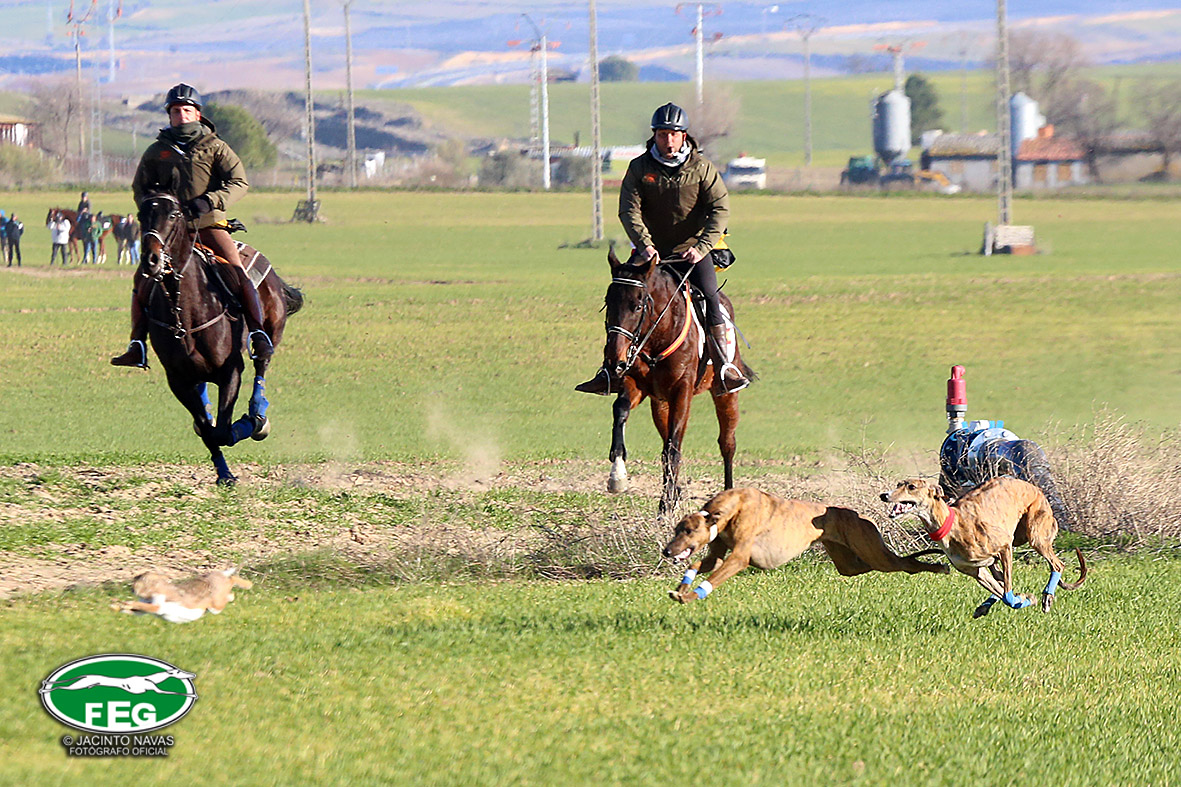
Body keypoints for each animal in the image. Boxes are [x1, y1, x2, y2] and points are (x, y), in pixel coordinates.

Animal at [114, 568, 253, 624]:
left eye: (144, 581)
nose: (132, 589)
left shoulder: (159, 603)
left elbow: (148, 607)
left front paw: (126, 603)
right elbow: (139, 610)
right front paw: (119, 606)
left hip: (216, 605)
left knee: (231, 583)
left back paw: (246, 585)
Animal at [138, 189, 303, 486]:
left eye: (173, 214)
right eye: (140, 215)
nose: (151, 259)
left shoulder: (231, 369)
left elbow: (224, 431)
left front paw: (250, 423)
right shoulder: (177, 379)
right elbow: (207, 430)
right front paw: (224, 474)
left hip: (270, 331)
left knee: (262, 362)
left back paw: (258, 413)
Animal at [594, 245, 753, 515]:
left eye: (638, 306)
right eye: (608, 302)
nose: (614, 361)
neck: (659, 334)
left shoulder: (682, 390)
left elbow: (673, 447)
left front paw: (664, 506)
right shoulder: (636, 385)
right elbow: (621, 410)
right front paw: (618, 476)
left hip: (725, 394)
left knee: (727, 443)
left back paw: (727, 493)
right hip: (660, 403)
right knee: (665, 436)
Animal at [663, 487, 948, 603]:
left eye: (689, 530)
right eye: (677, 529)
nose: (667, 551)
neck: (734, 506)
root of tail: (858, 515)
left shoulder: (739, 558)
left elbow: (713, 577)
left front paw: (690, 596)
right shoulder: (718, 554)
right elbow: (697, 563)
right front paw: (682, 588)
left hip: (876, 555)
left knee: (906, 563)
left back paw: (938, 566)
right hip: (850, 563)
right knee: (879, 565)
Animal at [881, 477, 1086, 617]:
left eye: (911, 487)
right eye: (899, 484)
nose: (884, 495)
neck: (952, 523)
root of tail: (1036, 488)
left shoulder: (1004, 547)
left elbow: (1008, 595)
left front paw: (1027, 598)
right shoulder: (977, 571)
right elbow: (1003, 592)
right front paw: (1022, 597)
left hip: (1035, 535)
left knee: (1057, 565)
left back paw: (1047, 596)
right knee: (1001, 582)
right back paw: (985, 606)